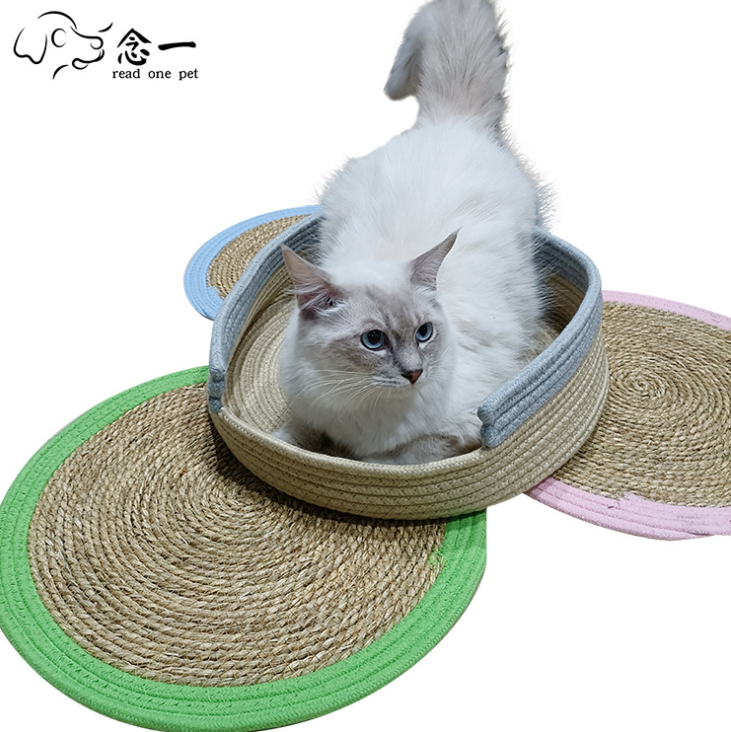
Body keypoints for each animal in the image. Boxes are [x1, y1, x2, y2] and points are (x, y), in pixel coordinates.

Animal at [275, 0, 543, 464]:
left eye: (424, 333)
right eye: (373, 340)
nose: (415, 373)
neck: (361, 412)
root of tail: (450, 121)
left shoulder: (448, 436)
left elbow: (383, 460)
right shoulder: (310, 414)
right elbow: (290, 439)